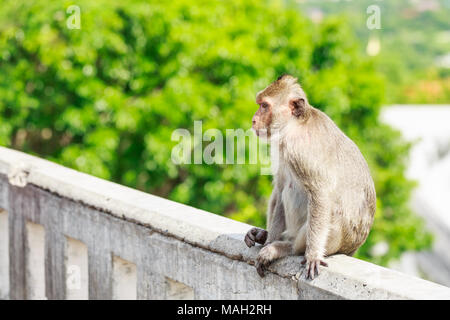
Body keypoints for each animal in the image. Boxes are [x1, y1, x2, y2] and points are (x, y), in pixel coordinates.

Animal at [243, 74, 376, 278]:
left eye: (264, 105)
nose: (253, 120)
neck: (295, 125)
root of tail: (352, 249)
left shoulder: (299, 150)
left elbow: (321, 194)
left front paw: (311, 255)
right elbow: (280, 188)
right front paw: (268, 239)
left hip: (334, 240)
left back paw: (286, 248)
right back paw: (266, 236)